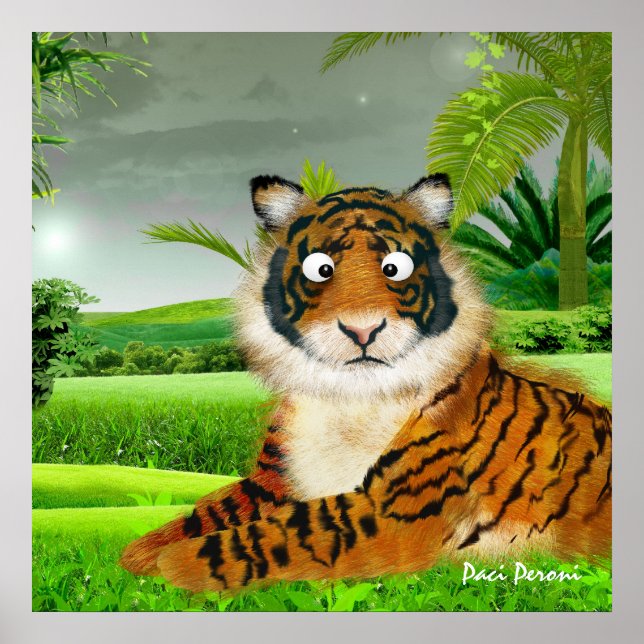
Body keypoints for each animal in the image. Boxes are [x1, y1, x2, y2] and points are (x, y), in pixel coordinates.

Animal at [119, 173, 612, 593]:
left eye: (395, 268)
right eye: (321, 269)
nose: (362, 330)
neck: (352, 399)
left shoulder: (398, 509)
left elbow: (280, 532)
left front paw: (171, 565)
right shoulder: (272, 480)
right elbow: (207, 513)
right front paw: (138, 554)